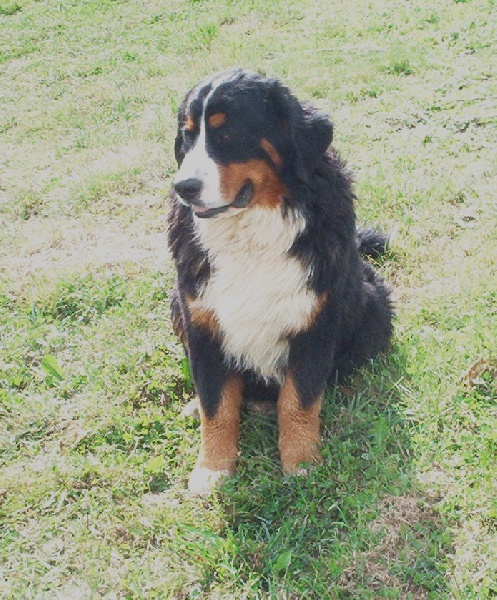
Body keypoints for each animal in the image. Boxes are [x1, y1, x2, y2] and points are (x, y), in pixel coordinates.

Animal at [169, 68, 394, 494]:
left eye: (227, 133)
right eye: (187, 136)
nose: (183, 187)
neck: (251, 229)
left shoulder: (314, 320)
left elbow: (299, 400)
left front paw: (302, 463)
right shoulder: (201, 320)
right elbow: (215, 404)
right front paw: (212, 468)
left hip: (373, 302)